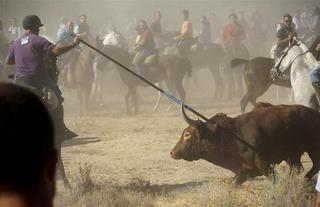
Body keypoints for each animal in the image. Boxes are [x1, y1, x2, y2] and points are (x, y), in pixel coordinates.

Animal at [171, 102, 320, 185]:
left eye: (187, 135)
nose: (172, 152)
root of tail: (315, 113)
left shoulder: (264, 165)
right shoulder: (243, 172)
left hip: (312, 148)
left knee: (314, 165)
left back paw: (304, 181)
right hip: (292, 155)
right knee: (298, 169)